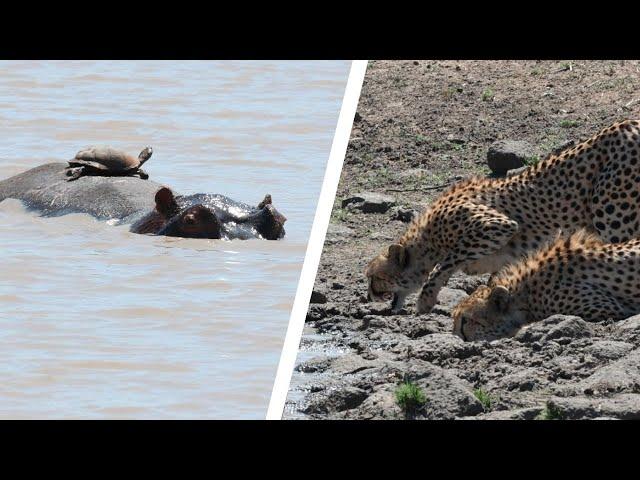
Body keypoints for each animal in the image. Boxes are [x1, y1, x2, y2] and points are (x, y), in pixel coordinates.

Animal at [364, 120, 640, 316]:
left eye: (375, 278)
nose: (370, 296)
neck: (428, 235)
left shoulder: (495, 226)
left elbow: (444, 265)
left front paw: (425, 301)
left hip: (611, 211)